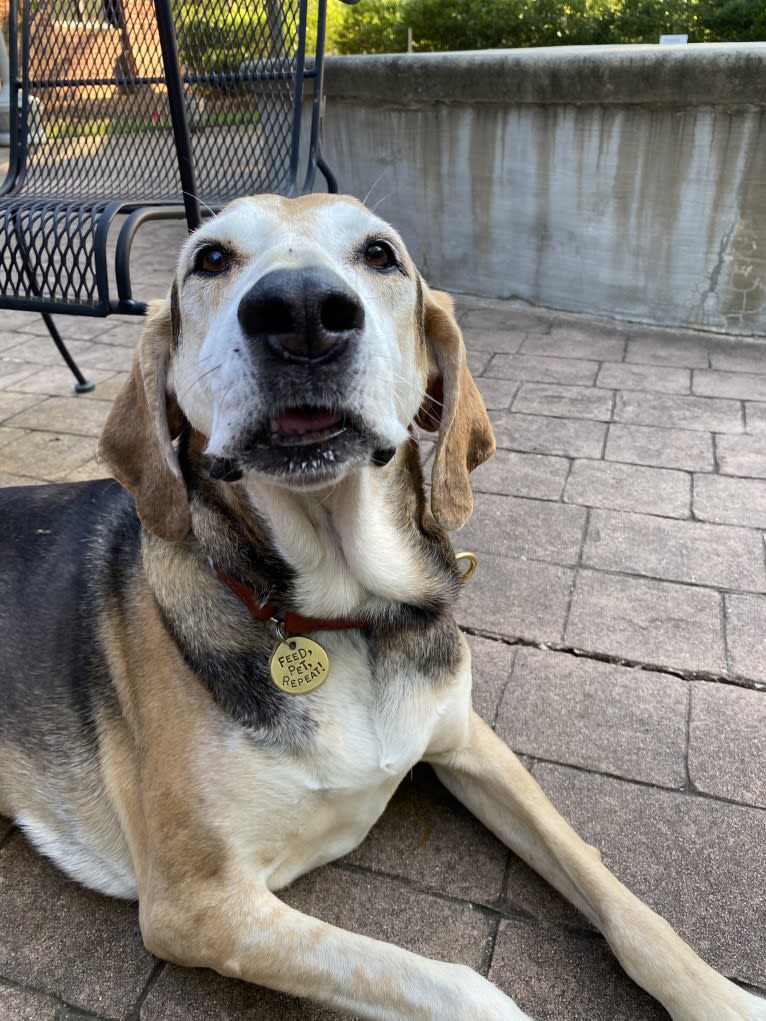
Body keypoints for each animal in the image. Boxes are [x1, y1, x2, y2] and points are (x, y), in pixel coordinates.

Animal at [0, 192, 763, 1021]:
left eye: (379, 254)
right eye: (210, 258)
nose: (302, 309)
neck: (348, 617)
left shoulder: (471, 741)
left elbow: (620, 897)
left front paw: (721, 996)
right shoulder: (195, 901)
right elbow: (460, 984)